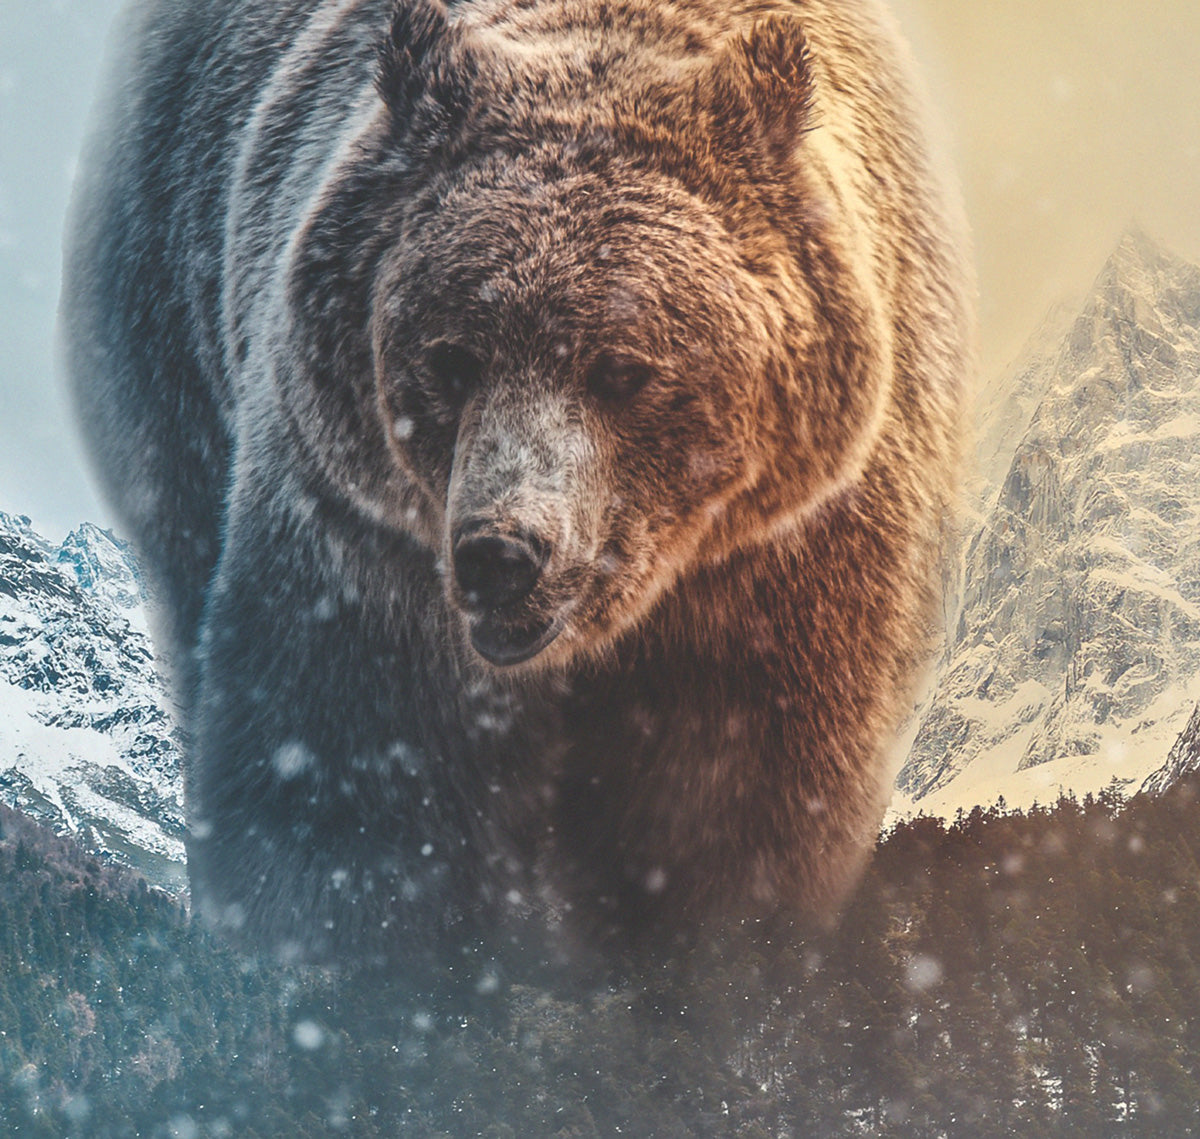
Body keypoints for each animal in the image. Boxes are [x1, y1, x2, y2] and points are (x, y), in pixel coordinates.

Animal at [61, 0, 971, 971]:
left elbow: (741, 813)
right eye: (452, 356)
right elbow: (344, 791)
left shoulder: (791, 562)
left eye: (623, 368)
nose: (502, 553)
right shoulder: (360, 535)